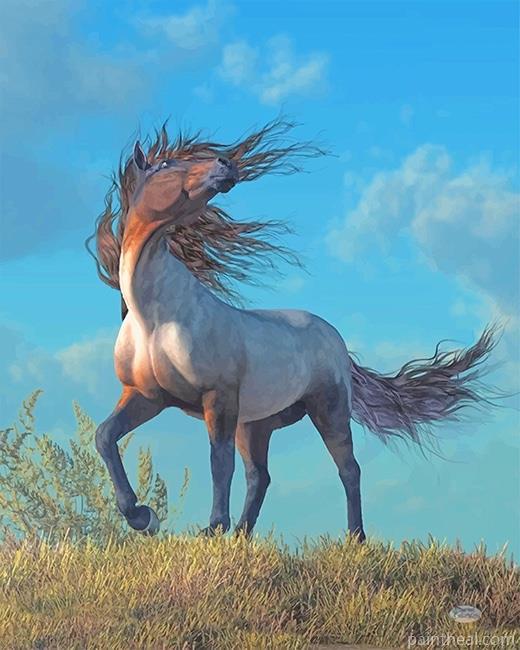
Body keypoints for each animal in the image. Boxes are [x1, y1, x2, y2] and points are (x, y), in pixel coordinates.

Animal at [87, 118, 500, 540]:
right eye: (166, 164)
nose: (227, 165)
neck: (155, 318)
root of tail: (336, 341)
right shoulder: (146, 396)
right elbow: (105, 436)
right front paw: (142, 516)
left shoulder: (217, 398)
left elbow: (219, 461)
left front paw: (210, 528)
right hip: (254, 425)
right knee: (260, 476)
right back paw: (243, 536)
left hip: (327, 411)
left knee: (347, 469)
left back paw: (354, 538)